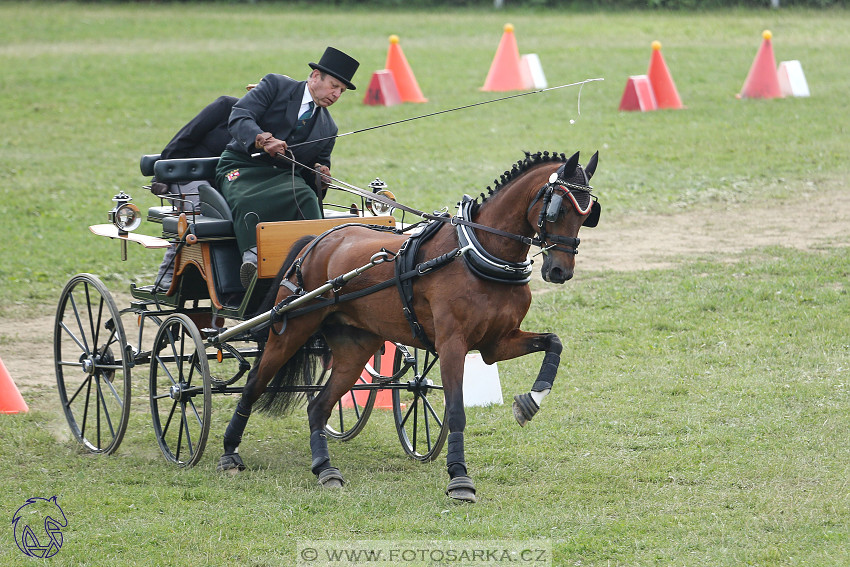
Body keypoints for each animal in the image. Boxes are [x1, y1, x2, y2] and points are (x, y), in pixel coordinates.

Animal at [215, 150, 600, 502]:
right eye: (559, 210)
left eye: (588, 215)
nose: (560, 271)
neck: (477, 253)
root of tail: (317, 240)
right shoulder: (452, 345)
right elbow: (456, 410)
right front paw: (459, 478)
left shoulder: (497, 343)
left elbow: (554, 342)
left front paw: (530, 402)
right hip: (292, 330)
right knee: (254, 384)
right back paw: (229, 453)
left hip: (355, 346)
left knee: (318, 406)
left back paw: (325, 469)